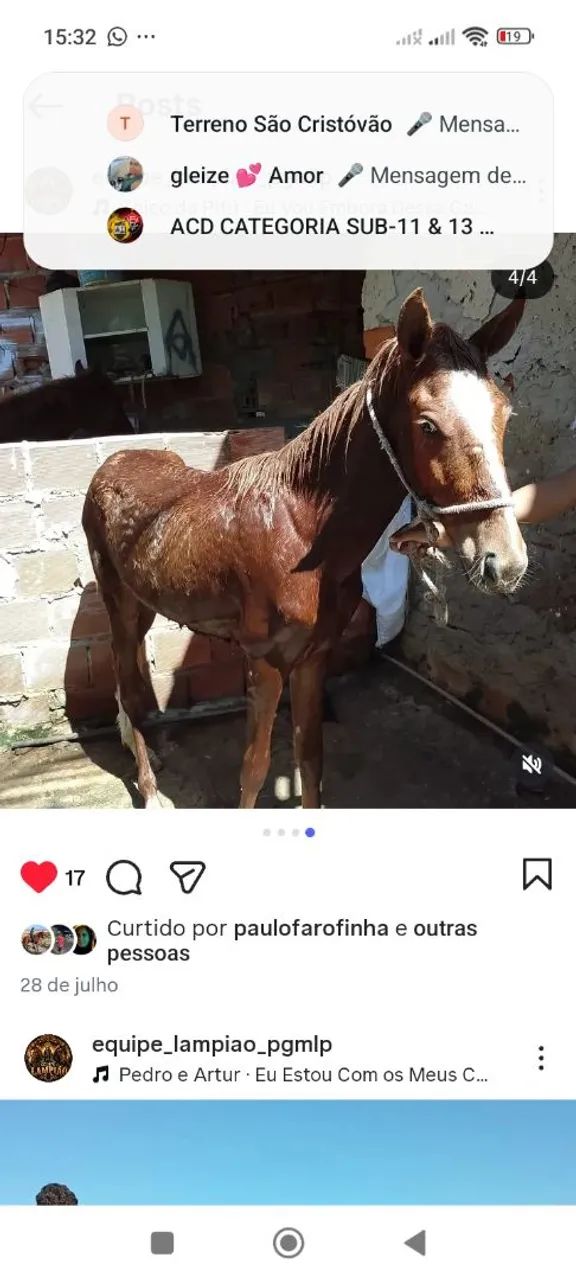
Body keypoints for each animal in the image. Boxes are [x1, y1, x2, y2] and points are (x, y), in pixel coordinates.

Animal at [82, 288, 527, 809]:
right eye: (428, 425)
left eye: (504, 415)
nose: (505, 560)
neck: (301, 533)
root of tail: (113, 461)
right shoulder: (265, 662)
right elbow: (254, 769)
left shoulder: (315, 658)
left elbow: (310, 757)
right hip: (120, 603)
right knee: (128, 687)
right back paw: (151, 789)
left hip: (144, 605)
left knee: (128, 680)